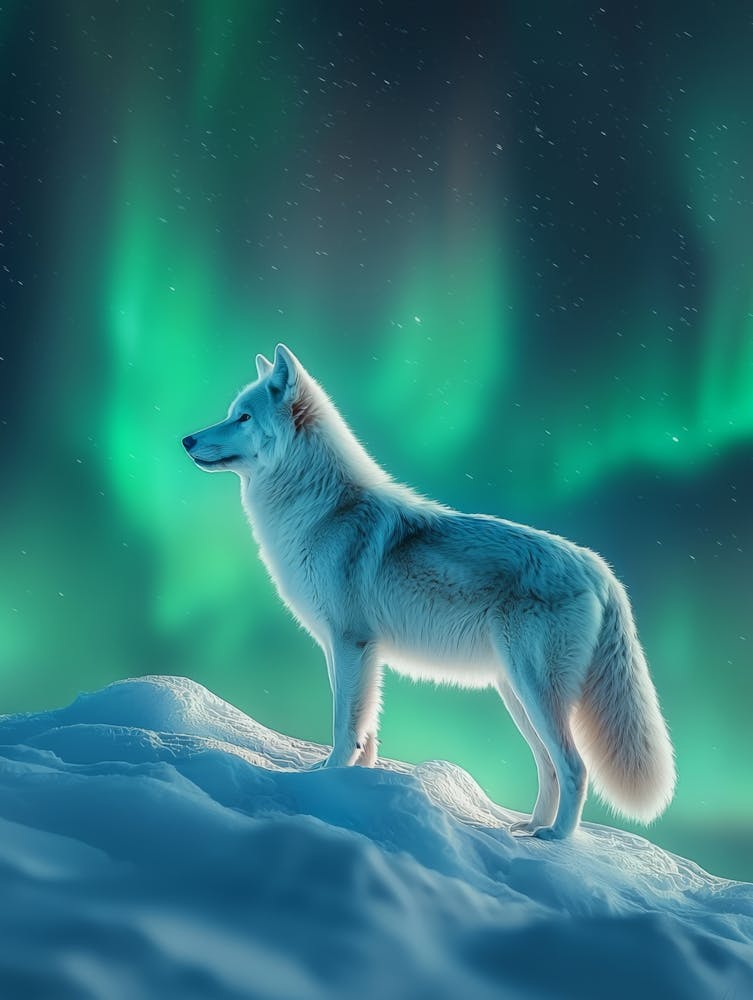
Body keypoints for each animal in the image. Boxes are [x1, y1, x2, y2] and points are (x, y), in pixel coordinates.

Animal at [182, 344, 675, 838]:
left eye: (244, 417)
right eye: (231, 413)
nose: (186, 439)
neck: (322, 508)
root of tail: (599, 568)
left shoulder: (351, 642)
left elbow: (345, 725)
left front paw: (324, 780)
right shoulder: (346, 649)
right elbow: (365, 730)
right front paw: (353, 786)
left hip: (534, 689)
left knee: (575, 766)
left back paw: (555, 839)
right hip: (516, 693)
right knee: (549, 767)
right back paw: (525, 830)